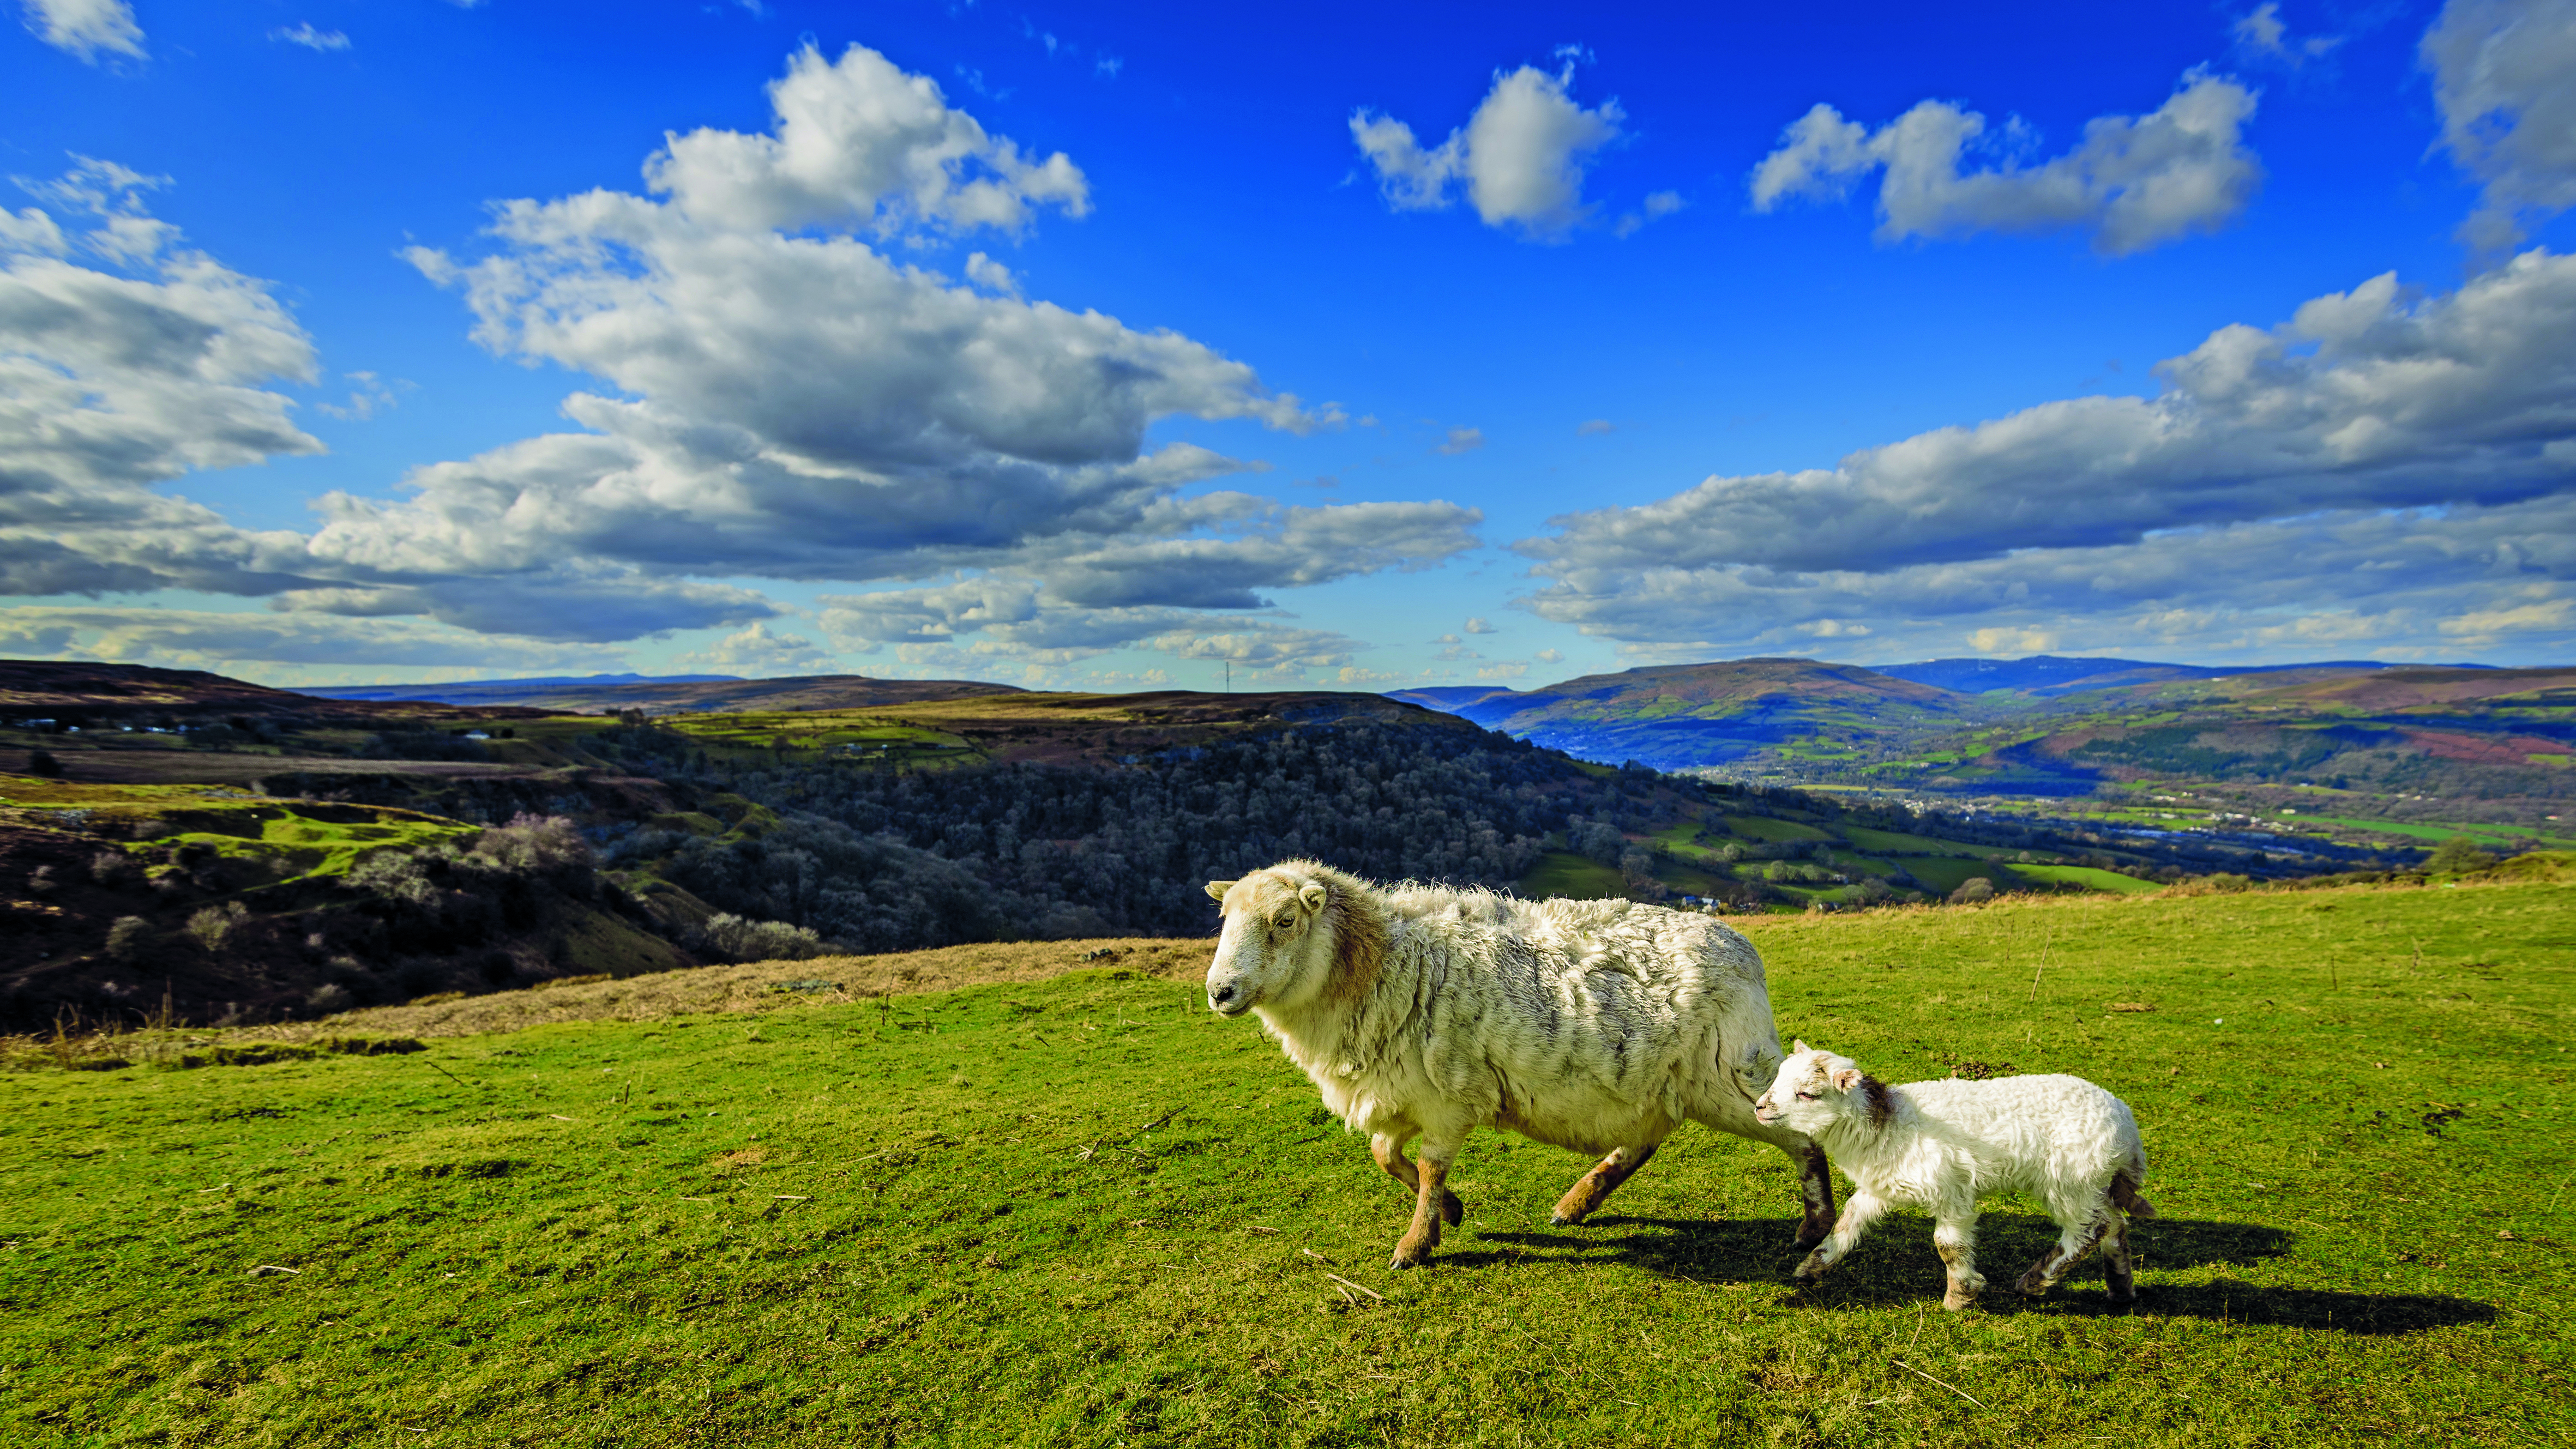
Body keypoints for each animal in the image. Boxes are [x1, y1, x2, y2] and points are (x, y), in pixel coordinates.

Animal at [1202, 859, 1838, 1269]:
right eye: (1223, 919)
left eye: (1285, 921)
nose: (1220, 991)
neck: (1378, 963)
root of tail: (1741, 947)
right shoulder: (1399, 1091)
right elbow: (1387, 1157)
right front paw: (1450, 1213)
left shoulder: (1449, 1100)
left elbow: (1428, 1169)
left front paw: (1414, 1246)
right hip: (1657, 1082)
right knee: (1643, 1140)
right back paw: (1578, 1202)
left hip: (1731, 1076)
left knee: (1801, 1137)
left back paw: (1815, 1226)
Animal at [1752, 1041, 2154, 1310]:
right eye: (1778, 1078)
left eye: (1807, 1094)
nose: (1759, 1107)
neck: (1885, 1126)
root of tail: (2126, 1125)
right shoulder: (1880, 1187)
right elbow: (1846, 1226)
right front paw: (1809, 1269)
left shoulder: (1951, 1191)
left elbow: (1948, 1245)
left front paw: (1960, 1296)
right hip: (2092, 1182)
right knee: (2115, 1223)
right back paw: (2121, 1288)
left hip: (2071, 1179)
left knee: (2089, 1231)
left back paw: (2035, 1280)